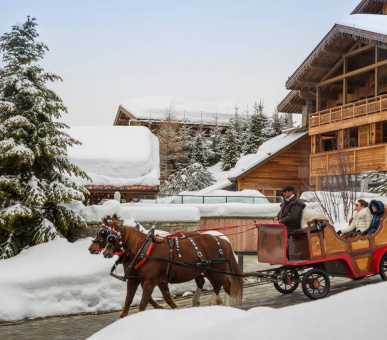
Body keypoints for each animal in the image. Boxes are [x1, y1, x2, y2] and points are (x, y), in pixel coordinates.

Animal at [103, 223, 242, 310]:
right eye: (104, 235)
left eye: (111, 238)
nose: (104, 252)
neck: (145, 249)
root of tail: (223, 240)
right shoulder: (155, 280)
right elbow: (165, 297)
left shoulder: (149, 281)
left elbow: (143, 302)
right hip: (209, 270)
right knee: (216, 284)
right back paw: (211, 302)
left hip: (219, 269)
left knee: (226, 285)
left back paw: (224, 305)